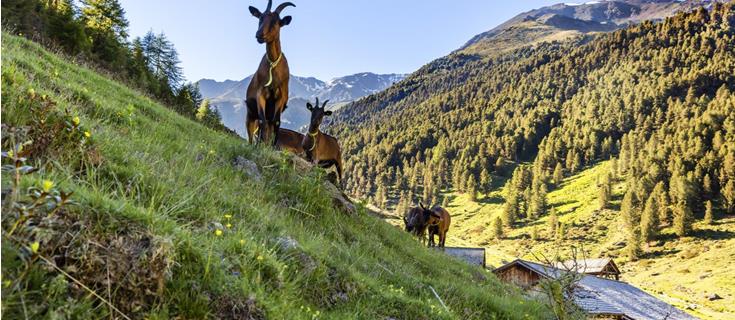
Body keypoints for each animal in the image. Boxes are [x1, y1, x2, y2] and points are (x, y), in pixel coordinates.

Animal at [246, 0, 294, 146]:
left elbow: (276, 122)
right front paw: (259, 146)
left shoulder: (281, 96)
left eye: (276, 22)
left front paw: (271, 146)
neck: (273, 63)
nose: (259, 35)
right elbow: (263, 121)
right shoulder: (261, 93)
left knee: (269, 125)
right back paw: (254, 144)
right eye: (260, 17)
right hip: (250, 114)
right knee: (254, 130)